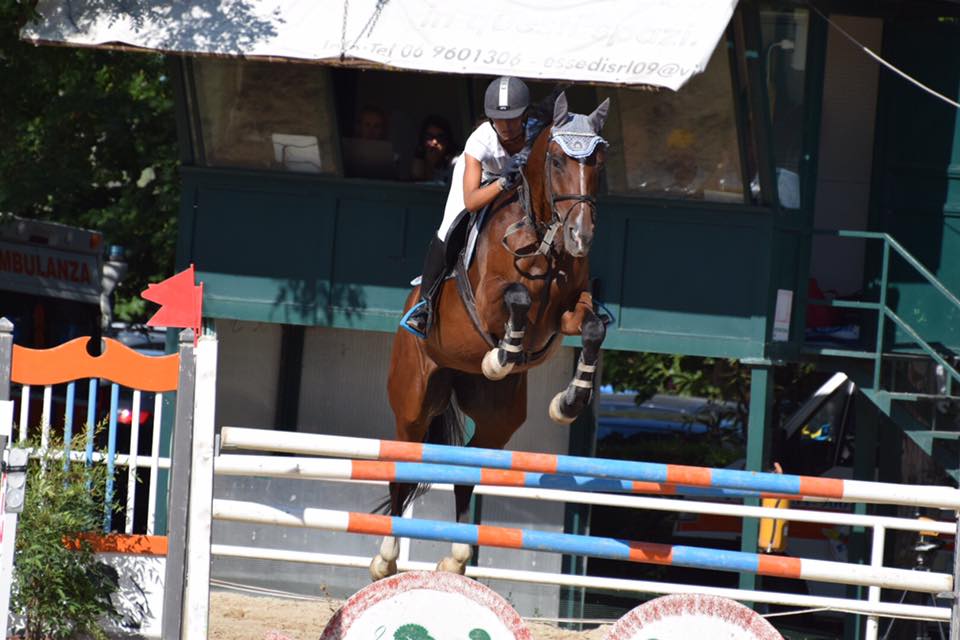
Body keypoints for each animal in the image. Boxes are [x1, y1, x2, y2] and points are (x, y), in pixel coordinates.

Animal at [376, 95, 608, 580]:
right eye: (557, 160)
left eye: (599, 160)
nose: (581, 236)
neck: (544, 239)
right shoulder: (485, 304)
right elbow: (515, 297)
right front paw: (499, 357)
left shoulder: (567, 315)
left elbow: (594, 327)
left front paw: (569, 403)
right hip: (412, 403)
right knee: (404, 464)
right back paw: (385, 558)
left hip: (499, 418)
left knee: (472, 462)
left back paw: (457, 556)